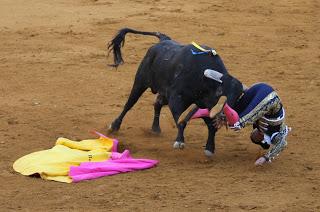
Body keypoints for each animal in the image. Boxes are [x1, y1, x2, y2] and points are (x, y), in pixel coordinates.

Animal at [107, 27, 242, 156]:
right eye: (220, 91)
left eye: (238, 97)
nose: (225, 116)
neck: (203, 78)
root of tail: (163, 40)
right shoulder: (176, 99)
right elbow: (181, 120)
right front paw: (179, 141)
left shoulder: (204, 105)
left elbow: (211, 126)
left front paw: (210, 148)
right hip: (140, 82)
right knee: (129, 104)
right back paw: (114, 126)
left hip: (163, 93)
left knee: (157, 104)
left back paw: (155, 128)